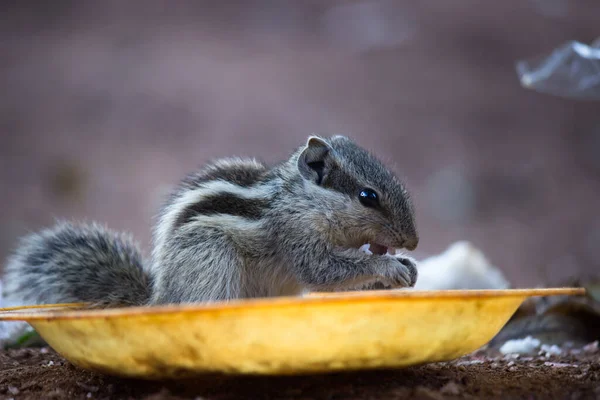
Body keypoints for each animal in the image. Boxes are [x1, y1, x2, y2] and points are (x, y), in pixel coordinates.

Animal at [2, 136, 420, 308]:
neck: (302, 200)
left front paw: (408, 267)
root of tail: (158, 298)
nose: (413, 242)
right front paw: (388, 266)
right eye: (368, 197)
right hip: (211, 256)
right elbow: (324, 271)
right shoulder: (295, 236)